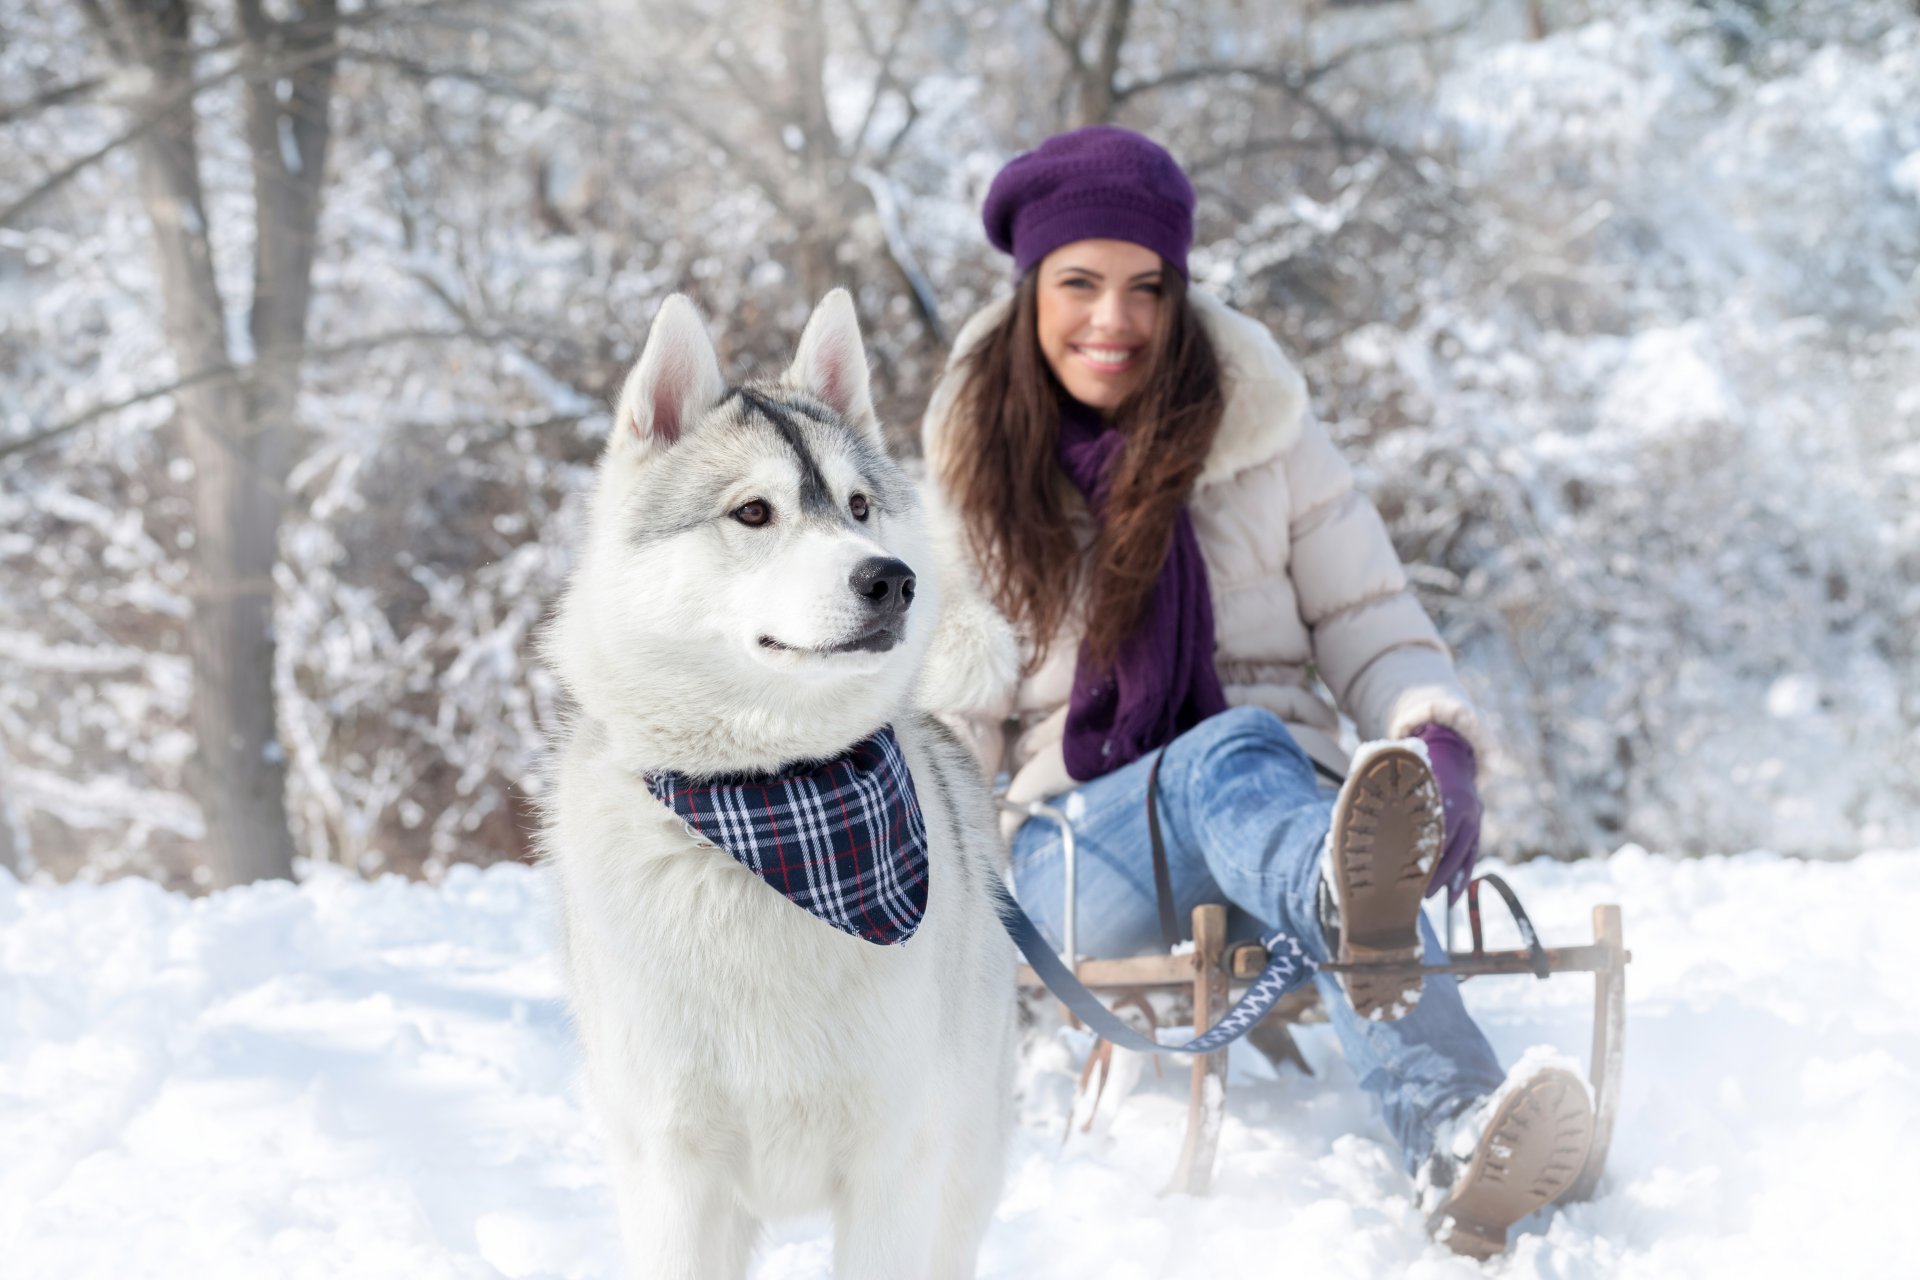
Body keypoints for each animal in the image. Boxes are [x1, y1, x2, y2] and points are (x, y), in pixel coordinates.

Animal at [541, 293, 1021, 1280]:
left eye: (859, 506)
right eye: (753, 512)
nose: (892, 579)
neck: (772, 804)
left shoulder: (893, 1170)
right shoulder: (675, 1176)